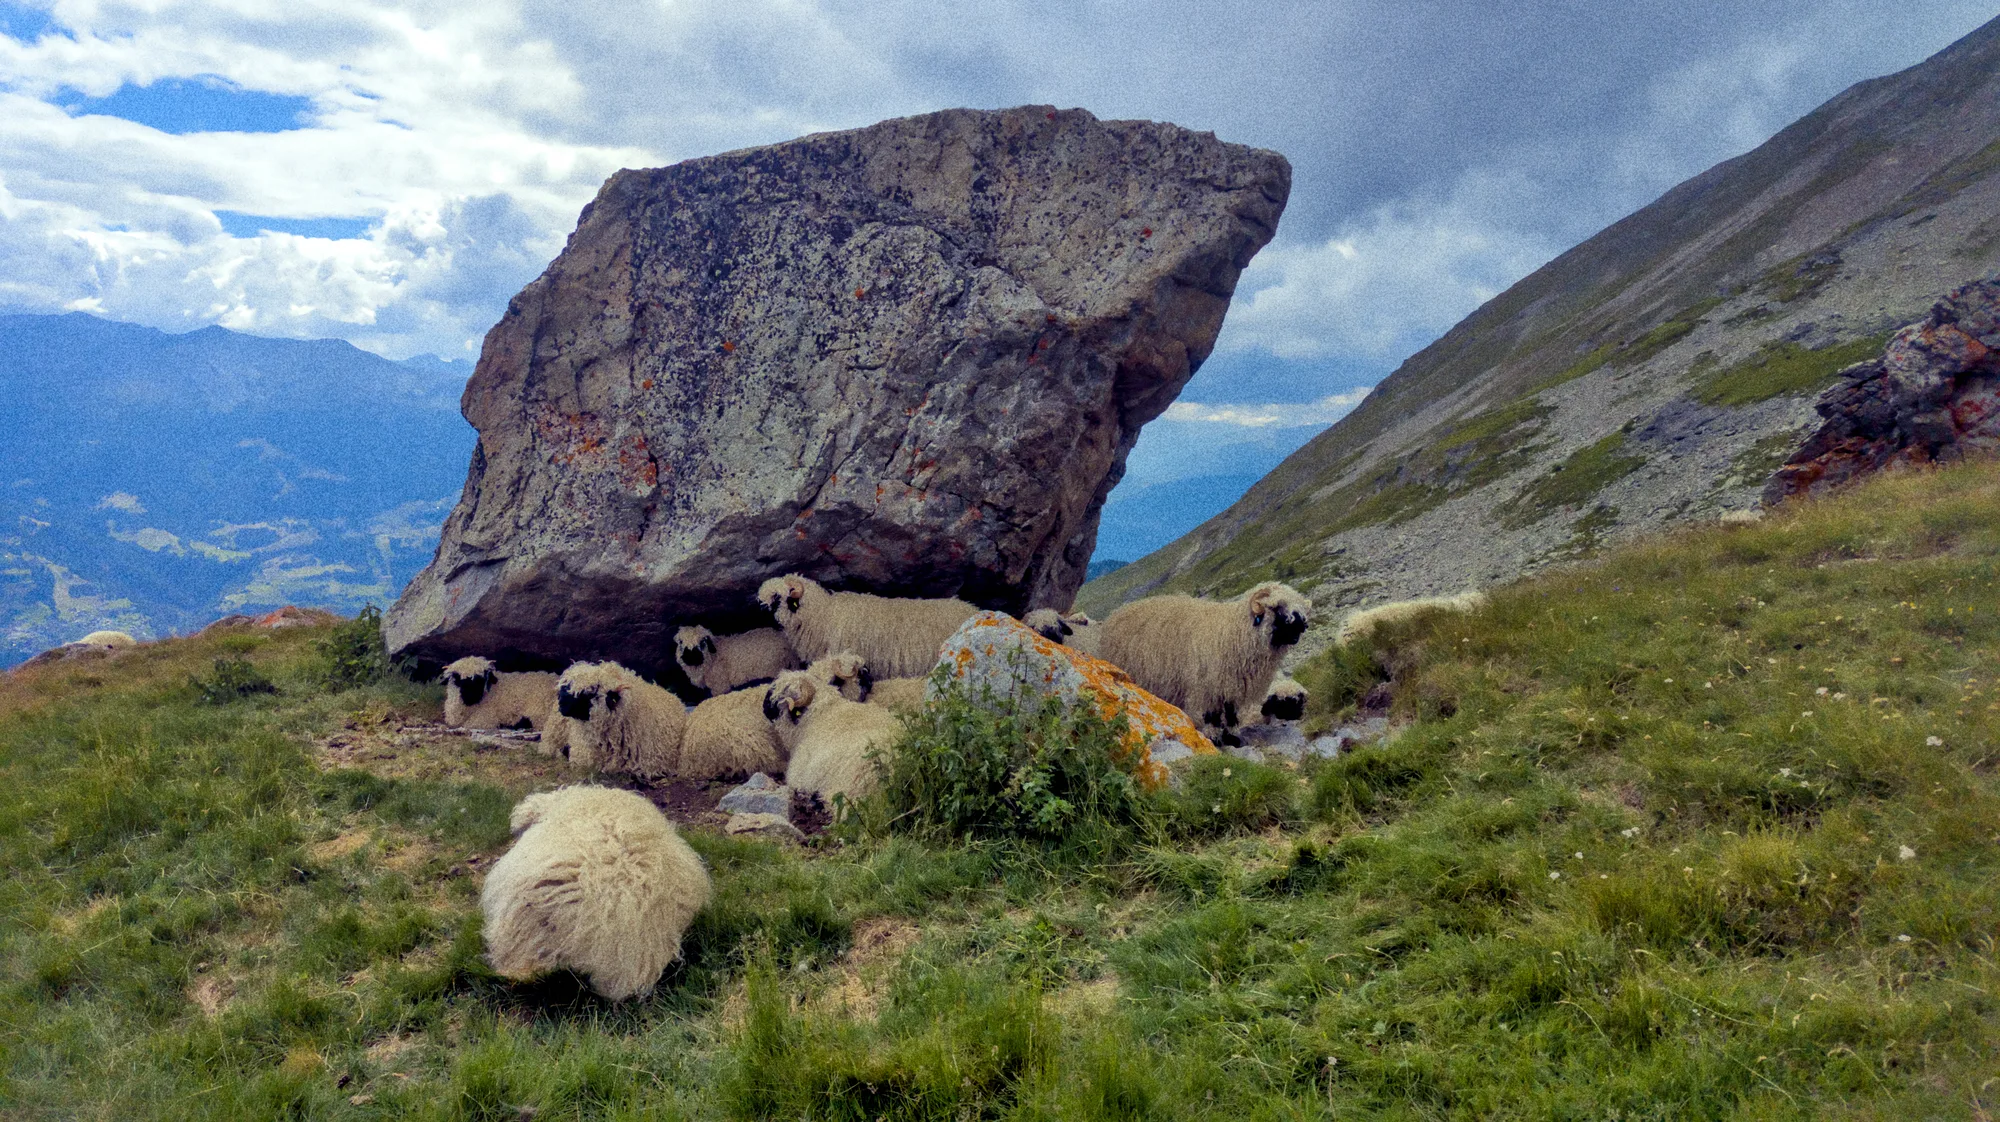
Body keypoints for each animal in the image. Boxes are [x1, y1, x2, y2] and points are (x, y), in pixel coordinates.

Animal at [1097, 582, 1313, 733]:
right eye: (1277, 607)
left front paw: (1233, 738)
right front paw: (1216, 738)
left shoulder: (1231, 686)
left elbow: (1231, 716)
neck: (1235, 632)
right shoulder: (1207, 686)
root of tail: (1118, 612)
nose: (1301, 626)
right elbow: (1213, 718)